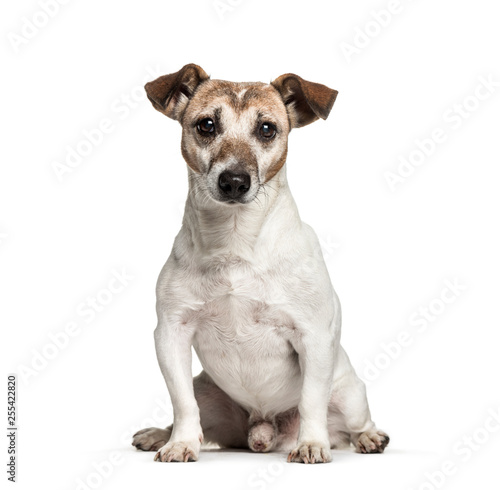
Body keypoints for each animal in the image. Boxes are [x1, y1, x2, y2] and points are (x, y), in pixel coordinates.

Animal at [131, 62, 388, 464]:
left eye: (267, 129)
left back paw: (369, 438)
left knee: (355, 422)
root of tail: (263, 426)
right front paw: (180, 443)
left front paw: (312, 444)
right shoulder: (171, 334)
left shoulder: (313, 337)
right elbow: (182, 404)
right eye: (206, 125)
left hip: (349, 393)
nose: (234, 181)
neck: (236, 242)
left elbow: (311, 400)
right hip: (208, 390)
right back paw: (160, 434)